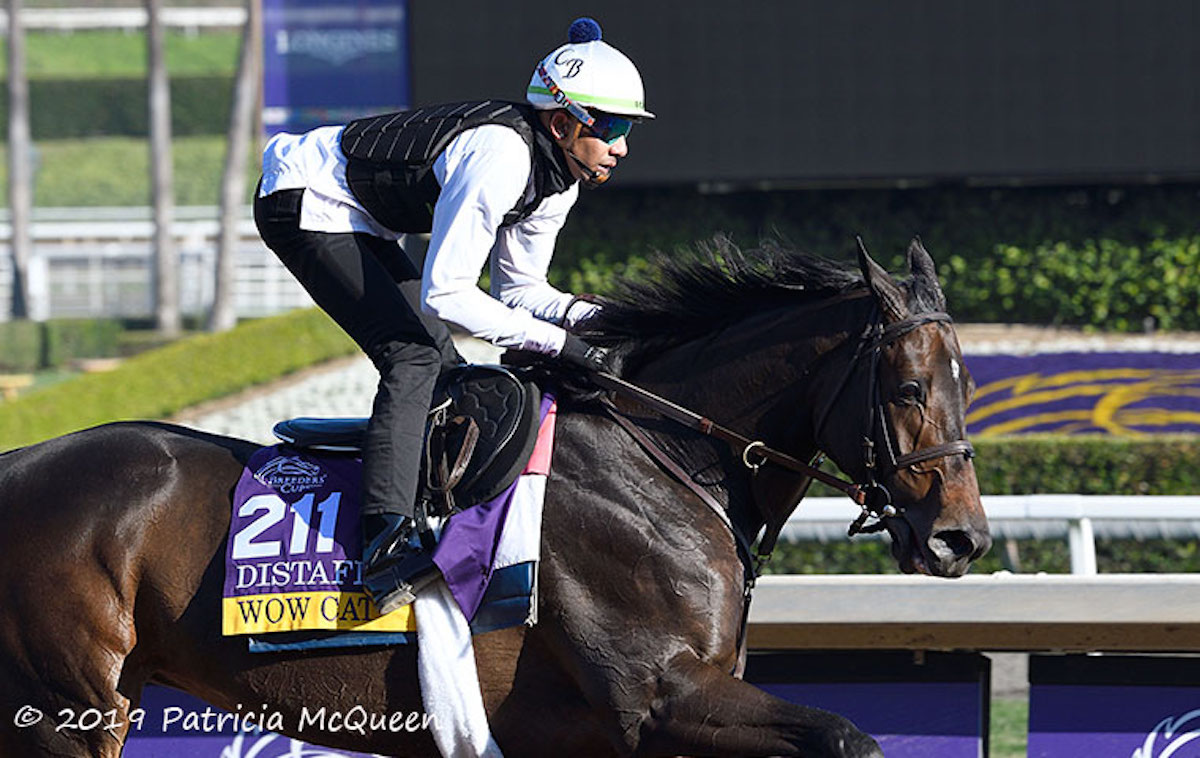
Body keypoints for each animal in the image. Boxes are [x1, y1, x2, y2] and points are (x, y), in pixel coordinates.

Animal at [0, 238, 984, 758]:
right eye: (906, 389)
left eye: (967, 383)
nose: (960, 539)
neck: (663, 463)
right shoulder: (655, 695)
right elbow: (849, 735)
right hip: (73, 707)